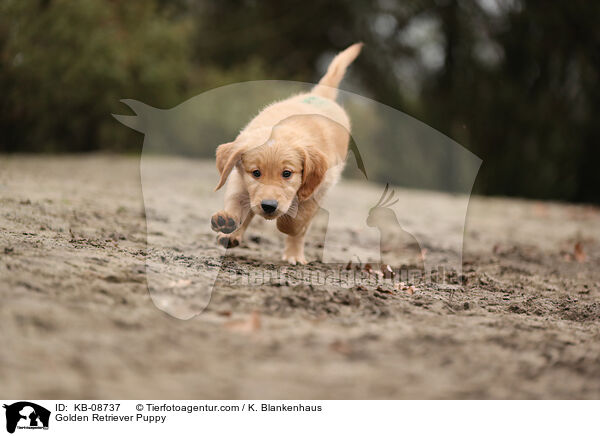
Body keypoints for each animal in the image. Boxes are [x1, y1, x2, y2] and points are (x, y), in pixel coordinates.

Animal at [211, 42, 360, 264]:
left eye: (287, 173)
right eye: (256, 173)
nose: (269, 206)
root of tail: (321, 95)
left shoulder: (318, 188)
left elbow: (296, 222)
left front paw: (286, 225)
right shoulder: (240, 177)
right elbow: (237, 202)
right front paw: (227, 221)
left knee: (301, 229)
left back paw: (294, 255)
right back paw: (232, 235)